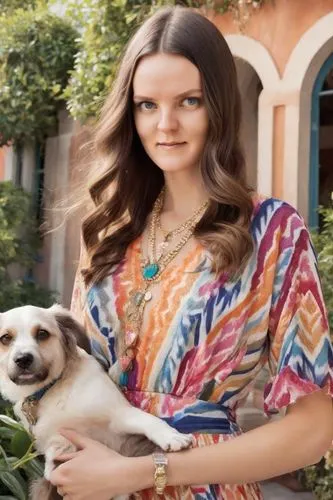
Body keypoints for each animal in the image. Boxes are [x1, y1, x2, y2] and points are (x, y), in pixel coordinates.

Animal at [0, 304, 192, 500]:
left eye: (42, 333)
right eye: (5, 338)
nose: (23, 359)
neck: (53, 389)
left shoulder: (119, 414)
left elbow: (148, 420)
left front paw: (171, 436)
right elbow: (55, 451)